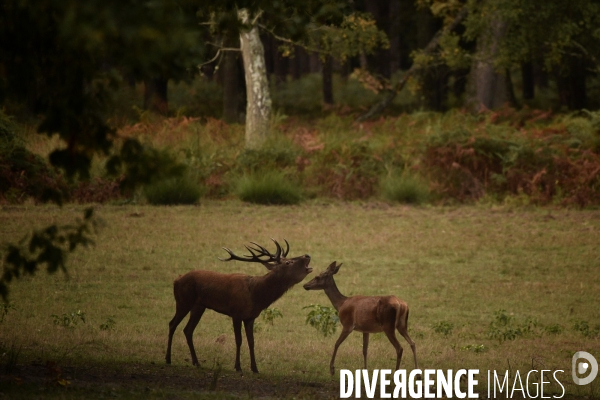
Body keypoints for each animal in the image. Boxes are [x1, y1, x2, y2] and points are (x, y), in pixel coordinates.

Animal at [165, 239, 314, 374]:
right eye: (288, 262)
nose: (307, 255)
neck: (256, 296)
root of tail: (176, 280)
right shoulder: (236, 313)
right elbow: (238, 340)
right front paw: (238, 367)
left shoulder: (250, 317)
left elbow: (251, 342)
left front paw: (255, 368)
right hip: (183, 301)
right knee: (172, 324)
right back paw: (168, 359)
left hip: (198, 306)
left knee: (188, 330)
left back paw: (196, 362)